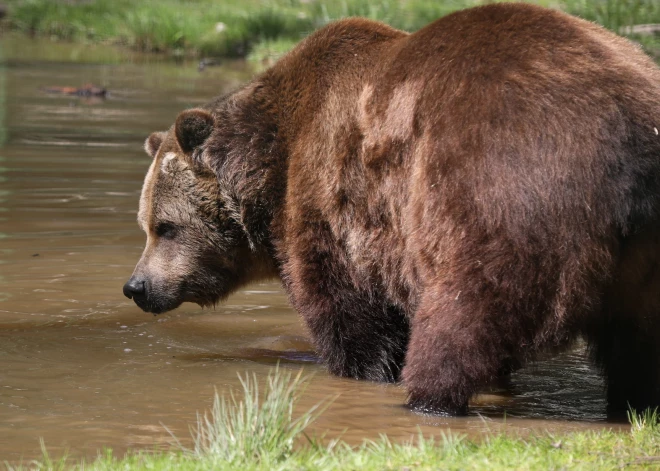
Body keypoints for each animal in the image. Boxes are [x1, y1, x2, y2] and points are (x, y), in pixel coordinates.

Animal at [122, 3, 660, 416]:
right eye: (146, 225)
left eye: (166, 227)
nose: (136, 286)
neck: (270, 161)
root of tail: (630, 132)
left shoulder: (333, 202)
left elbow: (349, 312)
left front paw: (358, 370)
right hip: (642, 255)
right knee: (639, 342)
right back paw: (635, 403)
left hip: (499, 190)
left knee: (465, 309)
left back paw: (429, 396)